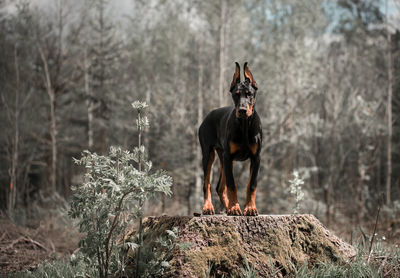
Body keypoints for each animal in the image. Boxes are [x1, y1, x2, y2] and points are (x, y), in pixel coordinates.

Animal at [198, 62, 260, 216]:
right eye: (236, 95)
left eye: (249, 94)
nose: (242, 110)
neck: (244, 125)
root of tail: (207, 116)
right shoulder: (229, 156)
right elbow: (232, 184)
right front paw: (235, 207)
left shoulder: (256, 158)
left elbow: (252, 185)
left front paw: (250, 208)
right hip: (210, 155)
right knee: (207, 183)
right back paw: (209, 207)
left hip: (224, 158)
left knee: (220, 187)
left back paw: (227, 208)